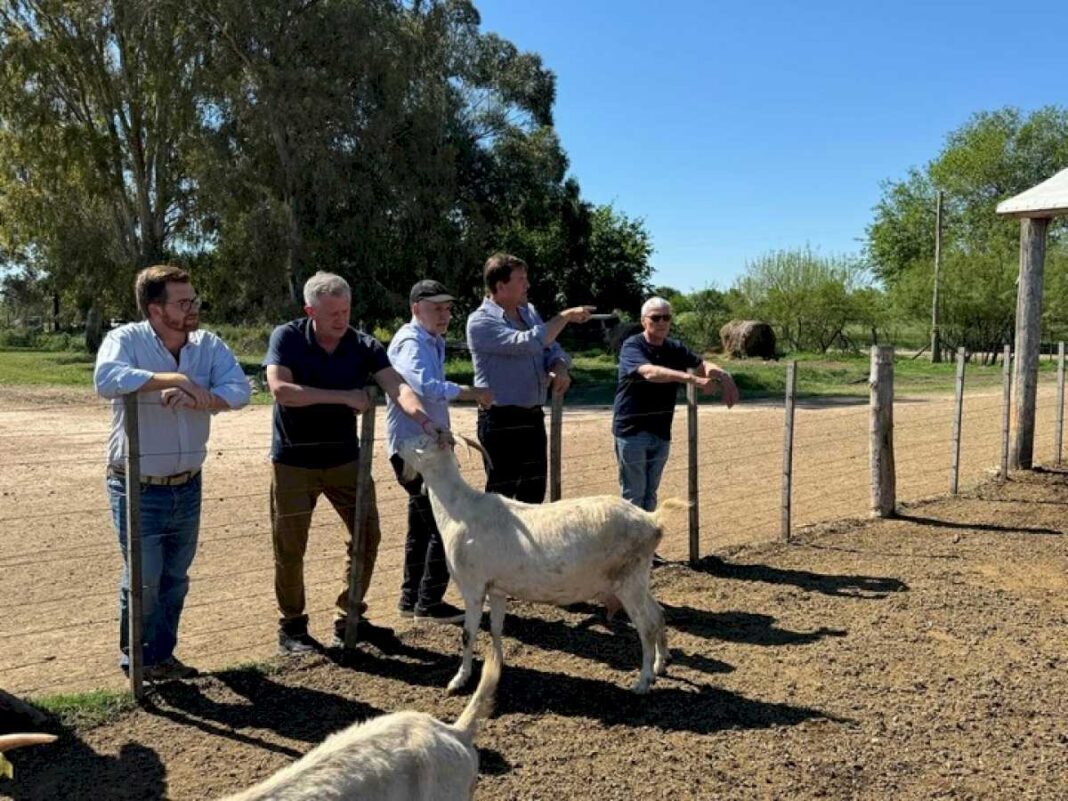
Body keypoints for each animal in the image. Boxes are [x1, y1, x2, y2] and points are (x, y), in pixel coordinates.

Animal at [397, 433, 679, 696]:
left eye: (421, 441)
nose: (398, 447)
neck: (459, 511)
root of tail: (653, 521)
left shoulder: (473, 587)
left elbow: (467, 635)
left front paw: (459, 680)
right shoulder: (496, 588)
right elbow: (496, 628)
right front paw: (496, 665)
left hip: (628, 582)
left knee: (646, 627)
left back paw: (643, 682)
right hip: (638, 578)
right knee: (658, 614)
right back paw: (660, 665)